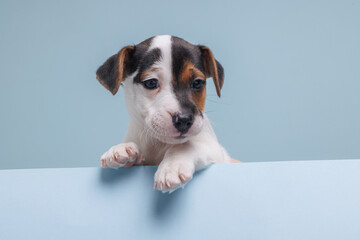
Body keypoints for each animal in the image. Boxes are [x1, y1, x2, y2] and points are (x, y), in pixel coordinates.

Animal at [97, 35, 236, 193]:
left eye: (197, 83)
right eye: (151, 83)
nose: (183, 120)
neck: (159, 144)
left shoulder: (217, 152)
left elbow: (186, 145)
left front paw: (172, 167)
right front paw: (120, 148)